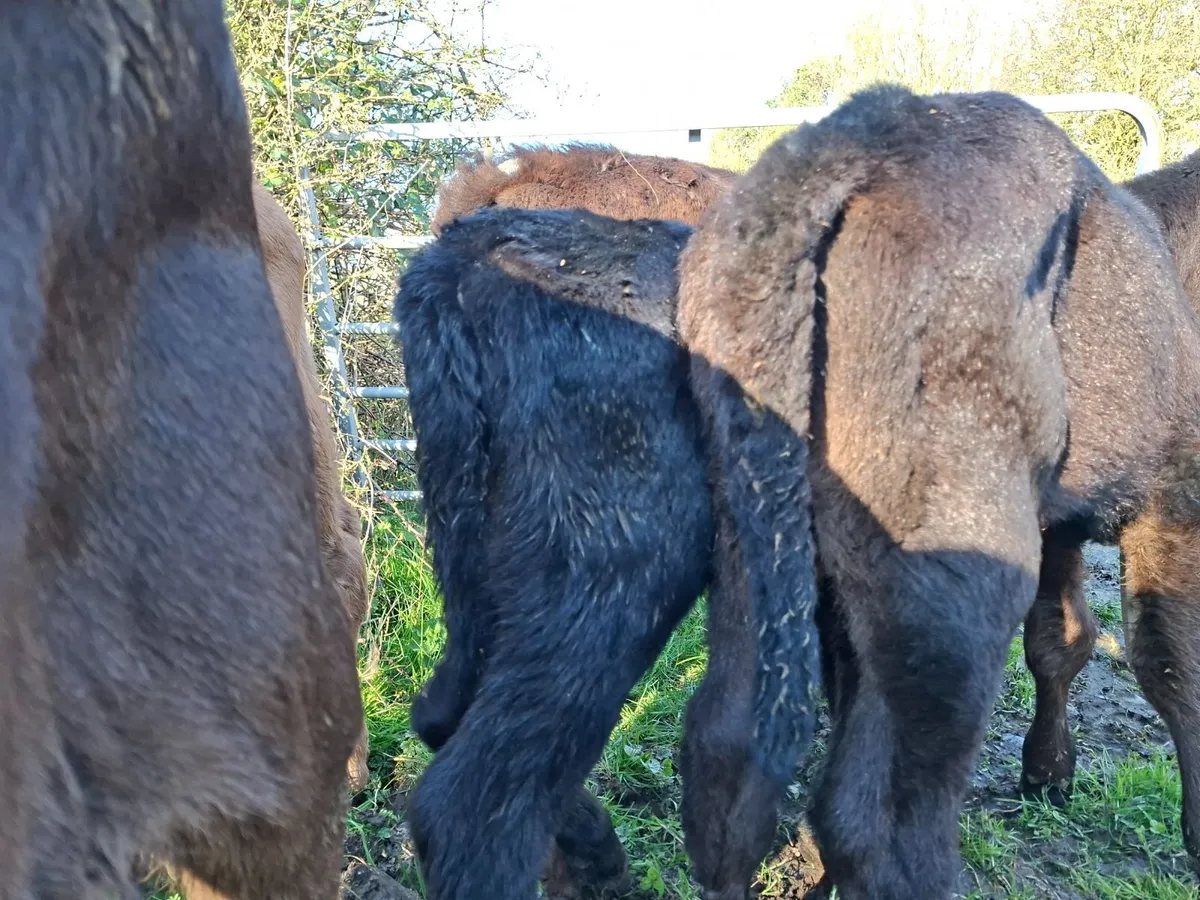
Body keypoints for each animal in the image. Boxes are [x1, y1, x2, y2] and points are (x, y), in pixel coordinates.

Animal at [676, 84, 1200, 899]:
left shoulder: (1059, 526)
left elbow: (1062, 638)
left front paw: (1048, 773)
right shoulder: (1174, 491)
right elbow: (1169, 658)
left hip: (755, 550)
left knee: (726, 756)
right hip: (954, 572)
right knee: (881, 824)